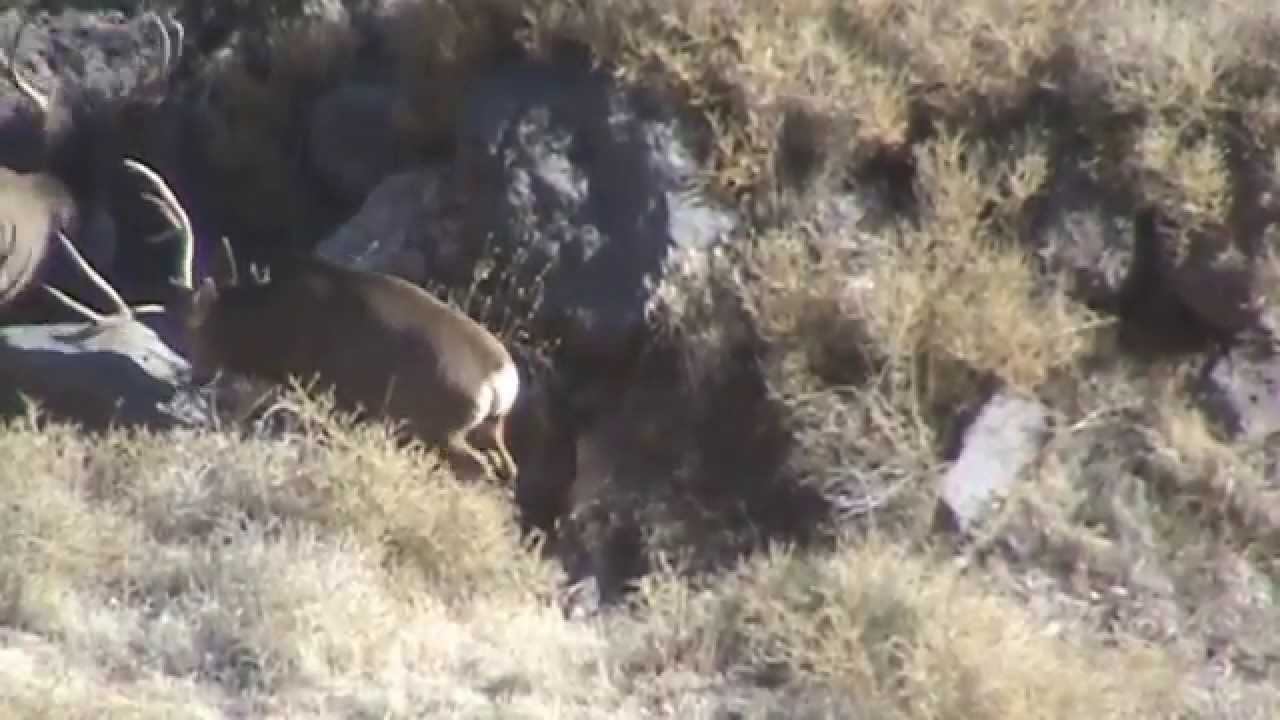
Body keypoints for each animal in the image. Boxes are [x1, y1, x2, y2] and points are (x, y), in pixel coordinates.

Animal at [121, 158, 522, 484]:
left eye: (193, 330)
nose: (196, 376)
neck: (270, 318)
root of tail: (500, 377)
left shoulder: (318, 386)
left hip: (441, 427)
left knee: (479, 467)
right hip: (490, 426)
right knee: (507, 467)